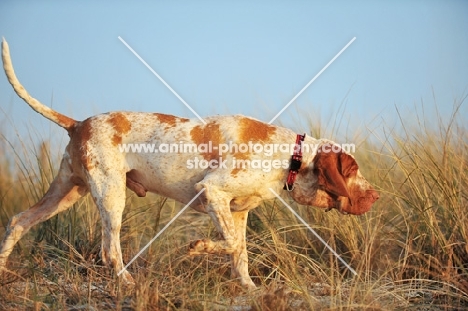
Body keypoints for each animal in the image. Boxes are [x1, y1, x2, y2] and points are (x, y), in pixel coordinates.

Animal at [0, 39, 378, 290]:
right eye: (352, 171)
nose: (375, 196)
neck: (290, 156)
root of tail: (79, 123)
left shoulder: (237, 212)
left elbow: (239, 252)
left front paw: (249, 289)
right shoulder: (213, 192)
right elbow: (230, 244)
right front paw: (200, 248)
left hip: (67, 192)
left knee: (18, 221)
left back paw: (3, 271)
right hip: (111, 197)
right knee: (110, 250)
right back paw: (126, 280)